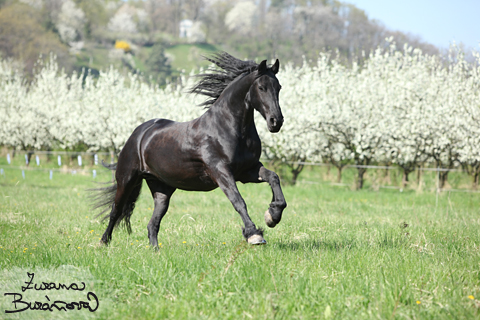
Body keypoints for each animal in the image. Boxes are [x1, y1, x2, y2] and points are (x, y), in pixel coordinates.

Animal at [95, 52, 286, 246]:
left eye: (278, 87)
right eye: (261, 87)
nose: (276, 122)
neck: (227, 127)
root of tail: (139, 133)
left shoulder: (248, 170)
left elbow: (273, 178)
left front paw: (272, 216)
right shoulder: (221, 172)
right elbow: (238, 201)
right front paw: (254, 234)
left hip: (162, 188)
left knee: (152, 224)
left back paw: (155, 250)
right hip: (127, 179)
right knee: (116, 210)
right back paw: (104, 242)